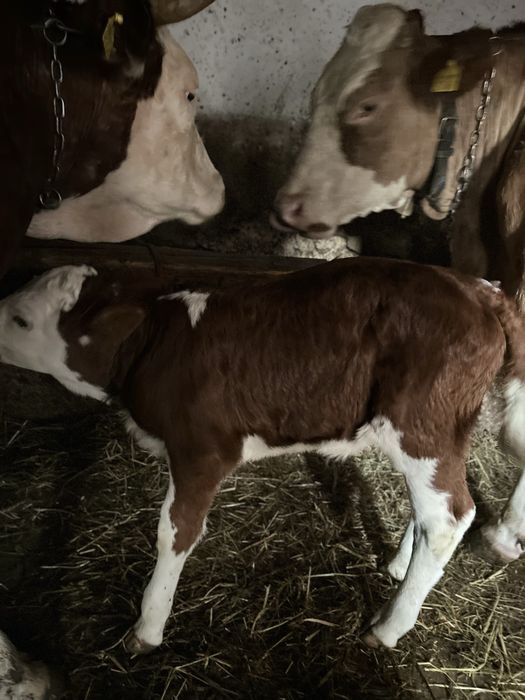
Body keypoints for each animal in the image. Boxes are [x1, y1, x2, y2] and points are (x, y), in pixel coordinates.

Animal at [0, 259, 524, 653]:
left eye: (22, 320)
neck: (160, 344)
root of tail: (476, 287)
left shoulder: (203, 449)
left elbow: (176, 531)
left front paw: (147, 628)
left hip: (423, 425)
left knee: (449, 517)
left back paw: (388, 626)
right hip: (439, 434)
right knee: (433, 510)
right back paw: (398, 569)